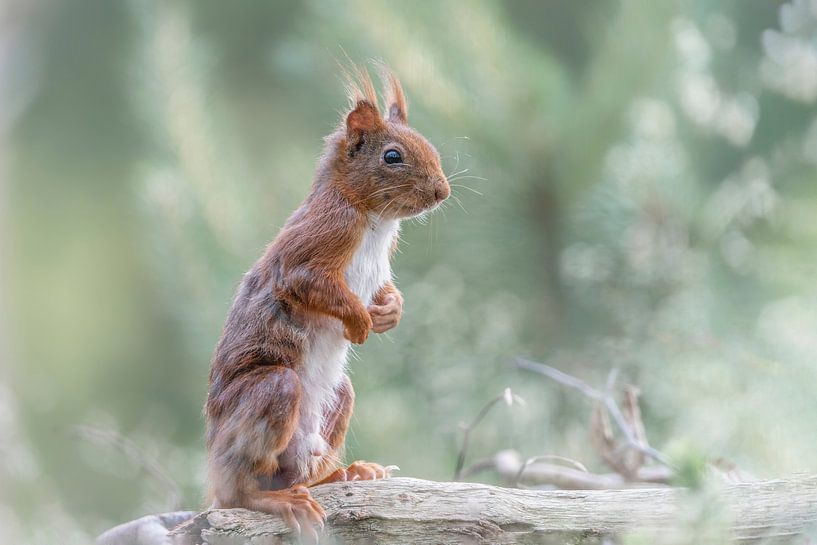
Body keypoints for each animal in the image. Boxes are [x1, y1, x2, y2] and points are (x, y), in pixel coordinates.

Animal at [204, 63, 450, 537]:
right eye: (392, 156)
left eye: (429, 144)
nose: (442, 192)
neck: (375, 220)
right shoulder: (320, 237)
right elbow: (308, 281)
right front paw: (359, 322)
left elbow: (386, 292)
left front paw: (388, 312)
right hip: (273, 392)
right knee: (239, 492)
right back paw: (276, 499)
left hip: (338, 401)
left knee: (301, 470)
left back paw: (348, 473)